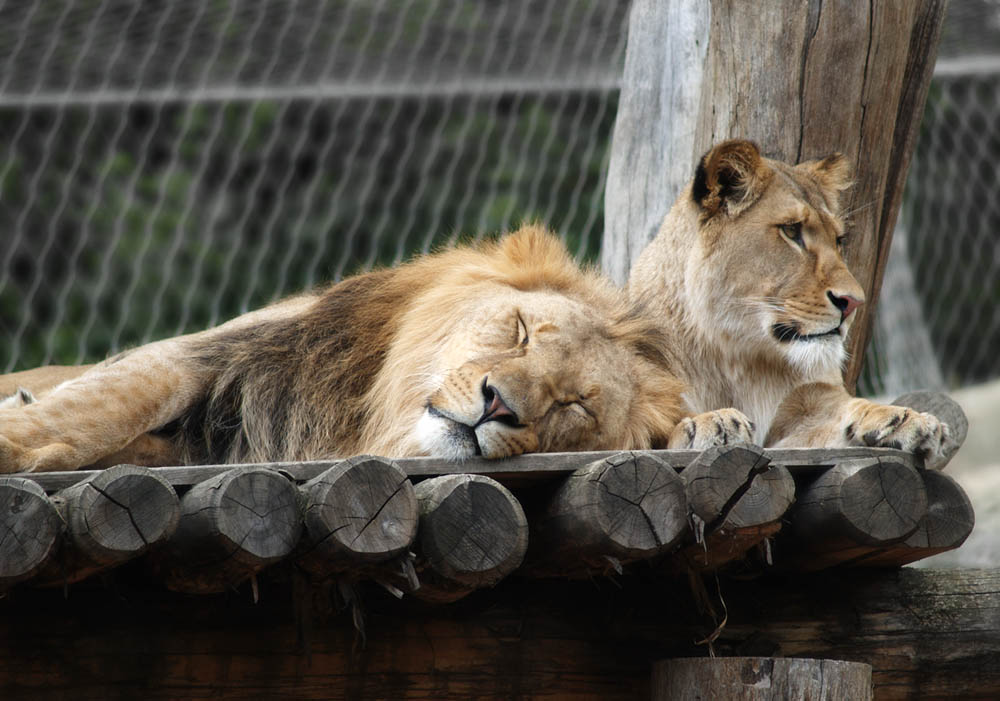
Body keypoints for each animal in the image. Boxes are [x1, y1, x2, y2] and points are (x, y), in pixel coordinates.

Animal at [0, 227, 752, 474]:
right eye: (519, 330)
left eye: (574, 405)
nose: (498, 406)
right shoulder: (219, 352)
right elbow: (103, 405)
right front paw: (16, 436)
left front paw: (713, 424)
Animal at [628, 139, 948, 462]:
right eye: (791, 230)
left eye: (838, 241)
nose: (853, 302)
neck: (738, 358)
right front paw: (711, 422)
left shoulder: (804, 408)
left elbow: (842, 410)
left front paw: (905, 419)